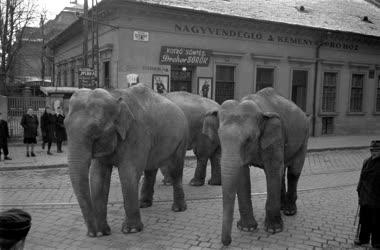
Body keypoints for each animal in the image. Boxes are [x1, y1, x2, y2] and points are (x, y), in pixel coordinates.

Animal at [65, 83, 190, 236]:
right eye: (64, 125)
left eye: (95, 129)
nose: (93, 233)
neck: (114, 96)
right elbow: (97, 177)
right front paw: (103, 232)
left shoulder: (136, 133)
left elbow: (128, 173)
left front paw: (131, 230)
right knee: (150, 169)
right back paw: (144, 204)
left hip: (182, 138)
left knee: (176, 169)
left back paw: (178, 208)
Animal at [217, 87, 308, 245]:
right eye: (219, 137)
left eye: (248, 139)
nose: (227, 243)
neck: (259, 109)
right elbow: (242, 174)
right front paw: (246, 228)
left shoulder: (275, 135)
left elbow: (272, 171)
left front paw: (273, 230)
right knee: (281, 171)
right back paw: (282, 207)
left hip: (304, 138)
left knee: (293, 172)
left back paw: (289, 211)